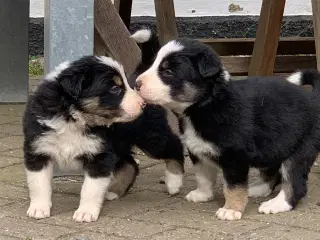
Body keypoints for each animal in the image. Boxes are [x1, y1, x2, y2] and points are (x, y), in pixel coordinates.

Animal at [134, 38, 320, 221]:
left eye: (168, 72)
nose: (136, 83)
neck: (206, 106)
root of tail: (313, 98)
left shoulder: (234, 156)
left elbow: (233, 186)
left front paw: (231, 210)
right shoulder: (197, 150)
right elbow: (203, 175)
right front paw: (202, 194)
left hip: (300, 149)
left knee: (295, 182)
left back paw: (276, 204)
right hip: (275, 145)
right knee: (272, 172)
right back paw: (257, 189)